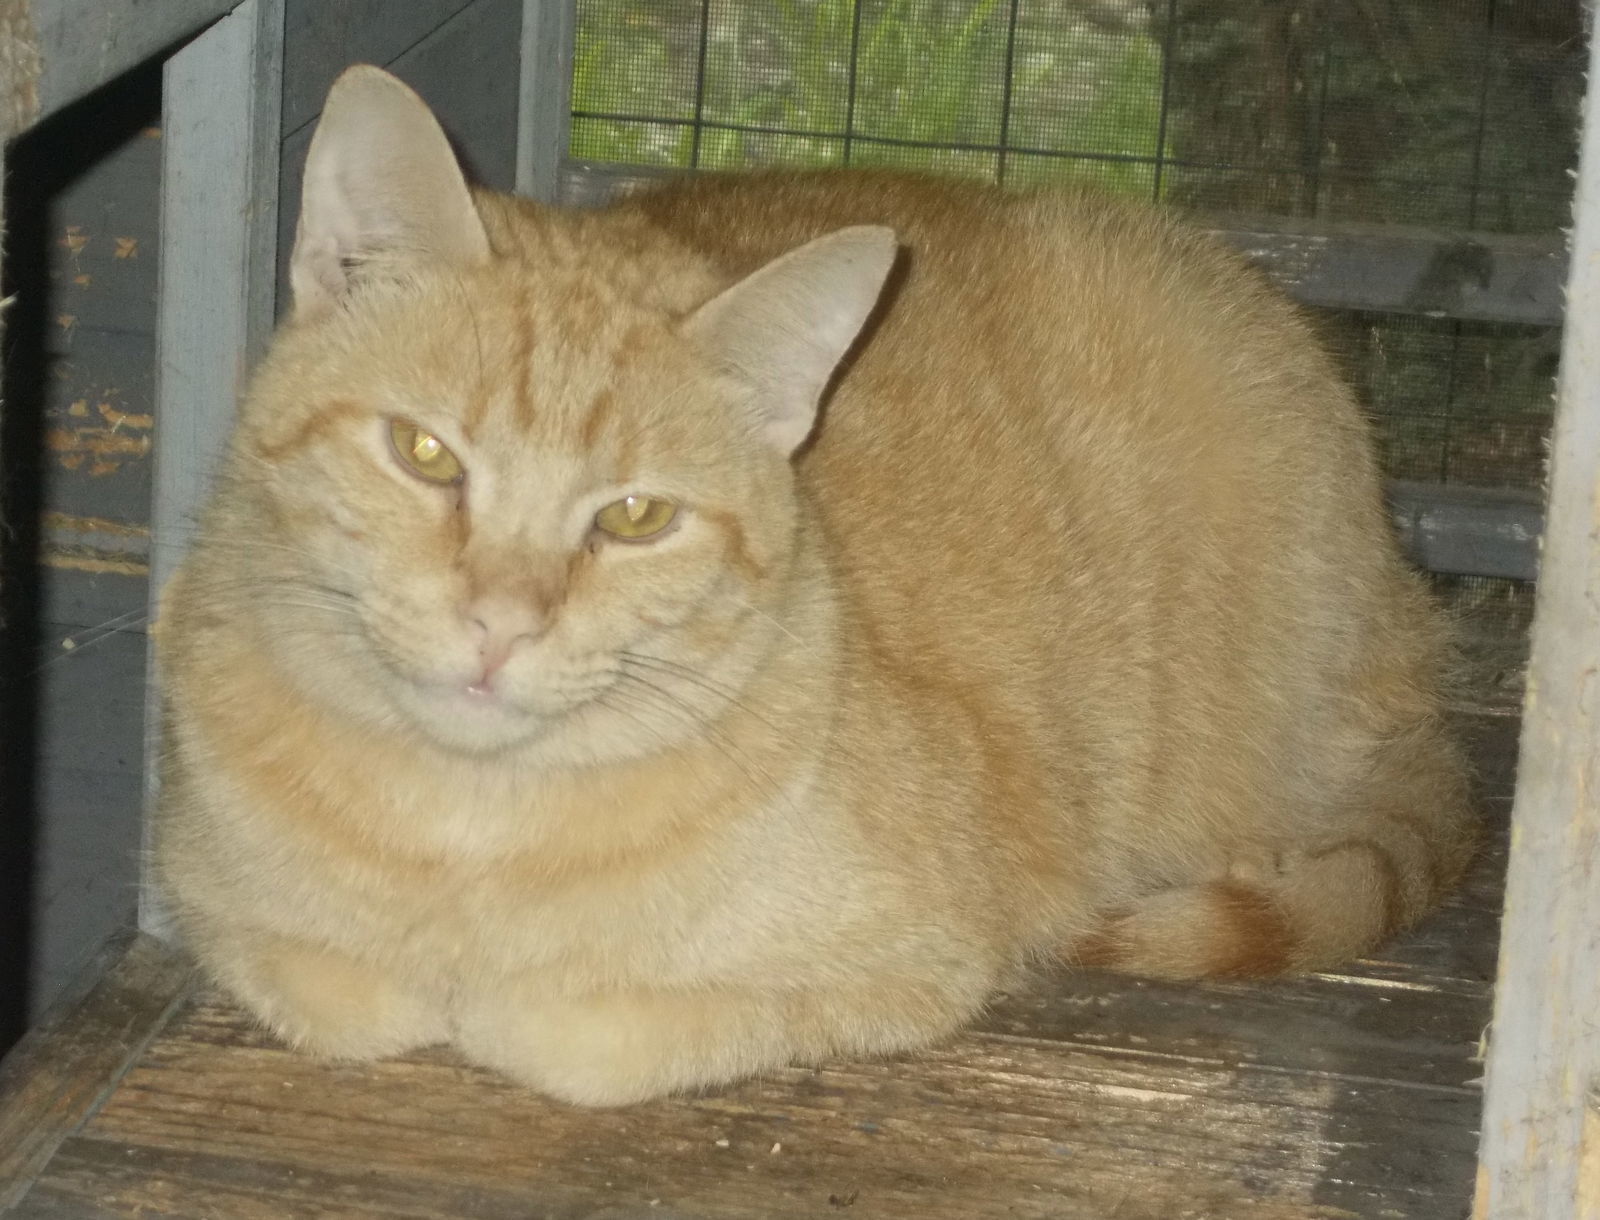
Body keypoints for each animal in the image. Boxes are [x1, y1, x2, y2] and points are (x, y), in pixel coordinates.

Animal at [152, 61, 1472, 1095]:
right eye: (424, 453)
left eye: (635, 516)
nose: (499, 624)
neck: (464, 829)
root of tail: (1406, 624)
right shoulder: (212, 903)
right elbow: (349, 996)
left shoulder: (920, 959)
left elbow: (560, 1030)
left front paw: (498, 998)